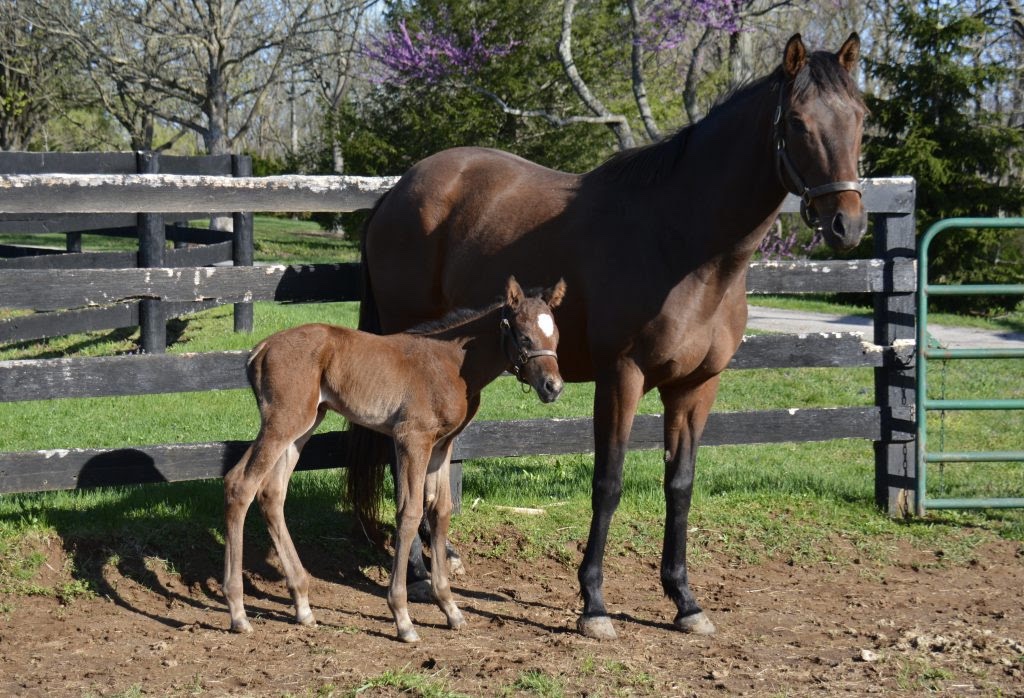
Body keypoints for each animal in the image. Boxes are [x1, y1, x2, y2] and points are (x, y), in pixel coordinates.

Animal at [222, 275, 567, 642]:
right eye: (524, 335)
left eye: (556, 336)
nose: (553, 387)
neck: (452, 363)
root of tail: (259, 349)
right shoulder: (411, 439)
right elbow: (410, 513)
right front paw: (403, 617)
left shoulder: (442, 446)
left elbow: (440, 511)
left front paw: (450, 608)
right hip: (282, 422)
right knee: (240, 485)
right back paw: (238, 612)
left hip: (304, 424)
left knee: (271, 493)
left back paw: (302, 606)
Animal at [349, 32, 867, 640]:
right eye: (799, 122)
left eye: (860, 118)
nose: (848, 224)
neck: (683, 244)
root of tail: (396, 192)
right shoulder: (621, 376)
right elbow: (609, 482)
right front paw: (594, 603)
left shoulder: (697, 386)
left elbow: (680, 484)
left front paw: (684, 599)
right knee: (398, 458)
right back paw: (417, 571)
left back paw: (441, 557)